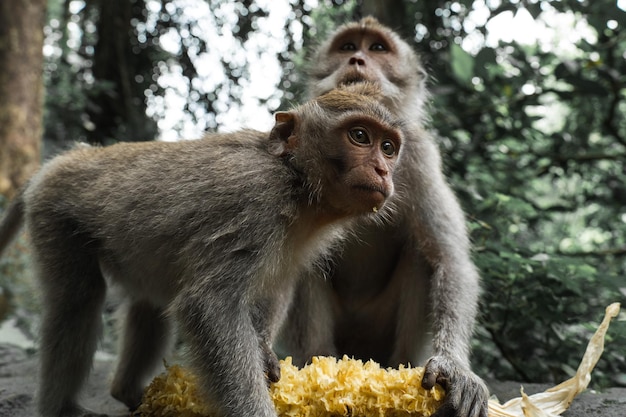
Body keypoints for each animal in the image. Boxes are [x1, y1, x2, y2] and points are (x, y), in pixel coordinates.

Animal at [0, 82, 402, 416]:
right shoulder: (255, 199)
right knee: (77, 300)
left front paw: (263, 351)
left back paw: (127, 393)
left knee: (150, 303)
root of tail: (63, 160)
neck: (295, 178)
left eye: (388, 148)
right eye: (360, 136)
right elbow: (211, 306)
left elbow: (274, 289)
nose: (383, 171)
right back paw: (62, 408)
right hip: (54, 214)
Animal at [276, 16, 490, 416]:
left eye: (377, 49)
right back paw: (321, 369)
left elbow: (449, 261)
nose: (357, 59)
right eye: (347, 47)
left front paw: (454, 366)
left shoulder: (421, 155)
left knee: (422, 258)